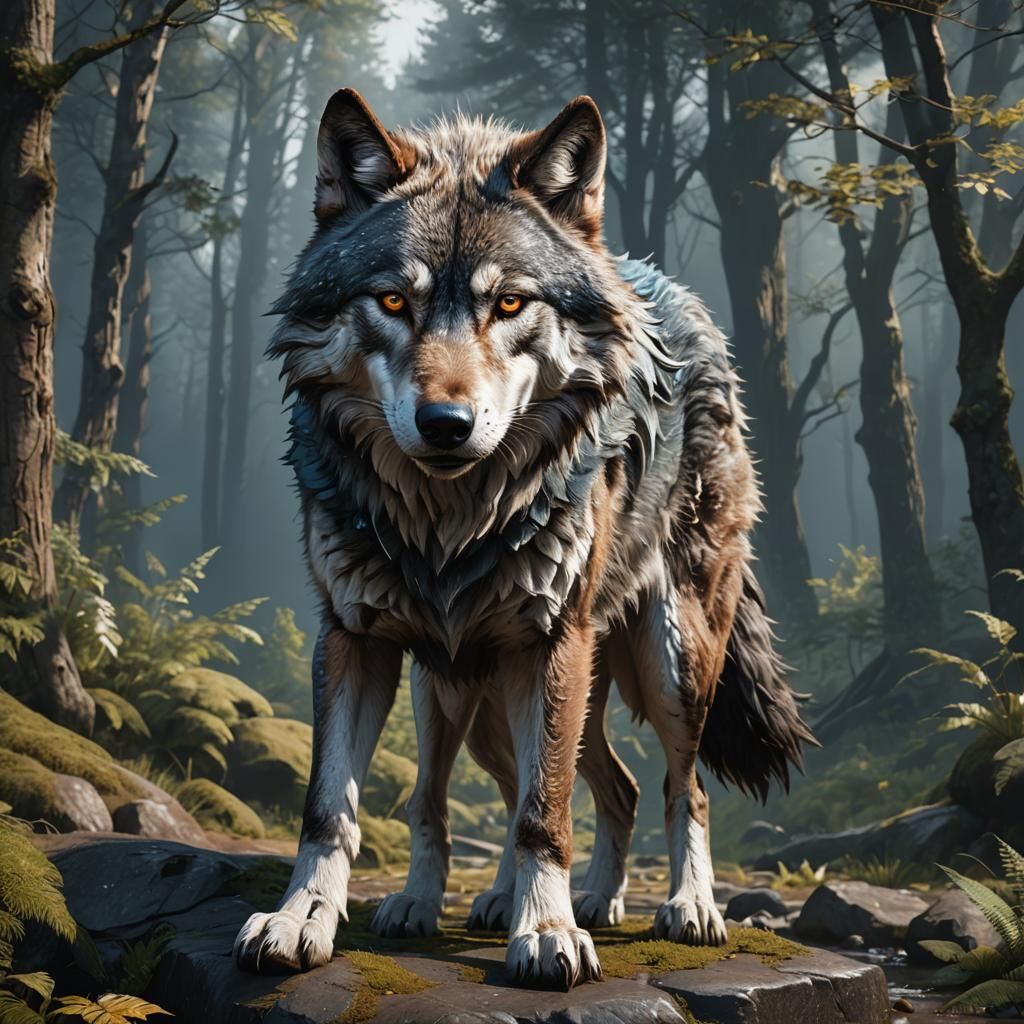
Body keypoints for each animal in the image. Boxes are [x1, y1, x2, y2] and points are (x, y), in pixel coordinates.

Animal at [233, 89, 814, 989]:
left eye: (509, 304)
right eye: (393, 302)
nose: (446, 423)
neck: (446, 524)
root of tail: (675, 295)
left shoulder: (549, 643)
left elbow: (546, 813)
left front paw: (544, 934)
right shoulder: (356, 639)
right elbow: (341, 807)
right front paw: (305, 919)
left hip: (666, 661)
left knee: (677, 788)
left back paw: (680, 907)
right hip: (477, 699)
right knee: (588, 789)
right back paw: (543, 899)